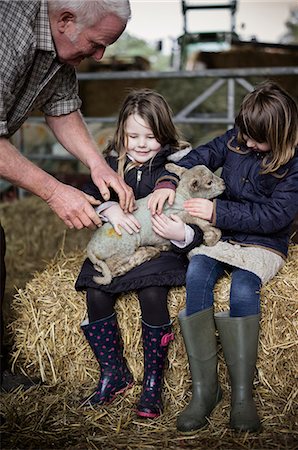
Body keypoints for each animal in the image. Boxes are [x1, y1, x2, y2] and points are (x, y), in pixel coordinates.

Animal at [87, 163, 225, 284]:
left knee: (101, 267)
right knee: (112, 266)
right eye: (209, 182)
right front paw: (211, 237)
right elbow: (197, 219)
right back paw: (134, 261)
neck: (184, 196)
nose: (223, 183)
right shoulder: (175, 215)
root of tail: (90, 248)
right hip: (125, 246)